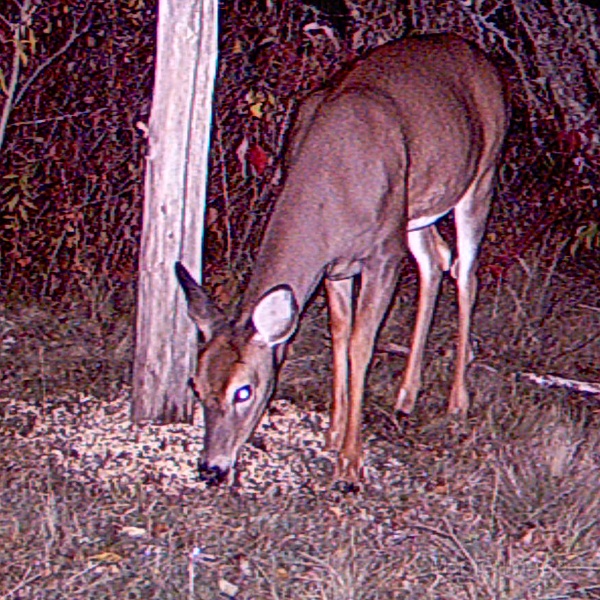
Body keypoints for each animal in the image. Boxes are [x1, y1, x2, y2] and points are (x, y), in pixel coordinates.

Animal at [177, 32, 506, 486]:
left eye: (244, 390)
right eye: (196, 385)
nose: (211, 468)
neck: (331, 188)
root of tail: (481, 57)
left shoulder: (383, 253)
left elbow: (361, 344)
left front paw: (350, 463)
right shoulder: (333, 267)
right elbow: (339, 335)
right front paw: (333, 434)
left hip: (482, 175)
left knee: (466, 273)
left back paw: (457, 402)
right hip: (415, 212)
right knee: (435, 259)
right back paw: (406, 396)